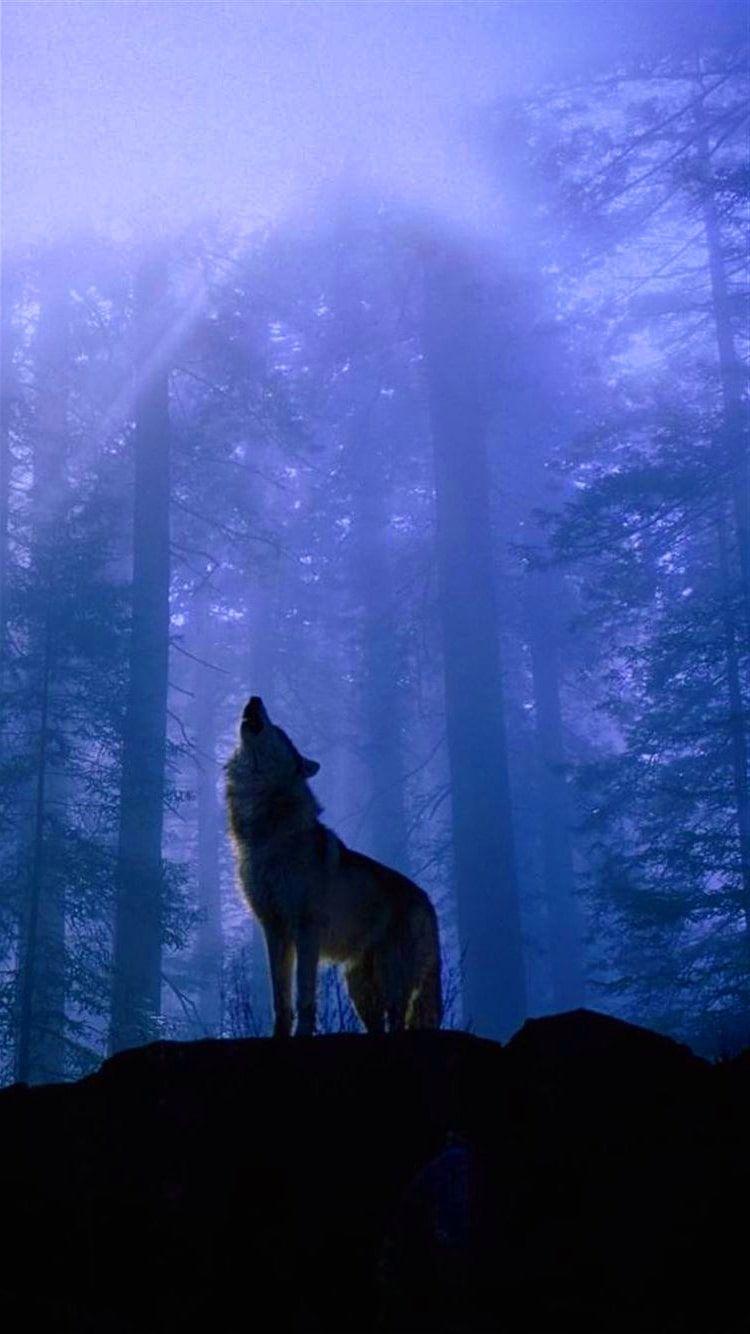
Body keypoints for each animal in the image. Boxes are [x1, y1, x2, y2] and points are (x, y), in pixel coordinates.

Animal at [226, 696, 442, 1037]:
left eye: (279, 730)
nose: (254, 698)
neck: (265, 832)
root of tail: (427, 900)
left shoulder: (306, 930)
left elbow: (304, 996)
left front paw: (302, 1034)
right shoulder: (273, 929)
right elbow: (280, 998)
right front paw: (279, 1036)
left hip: (391, 980)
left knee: (397, 1020)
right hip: (360, 989)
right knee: (378, 1026)